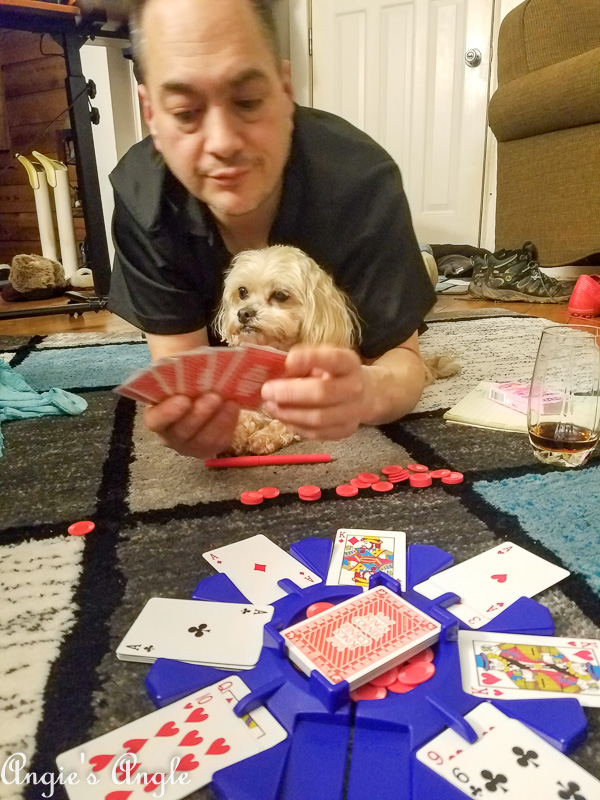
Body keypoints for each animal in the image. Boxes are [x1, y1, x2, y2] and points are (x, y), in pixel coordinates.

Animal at [213, 244, 458, 456]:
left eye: (280, 295)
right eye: (242, 292)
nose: (243, 313)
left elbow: (285, 423)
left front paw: (264, 436)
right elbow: (245, 414)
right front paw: (232, 434)